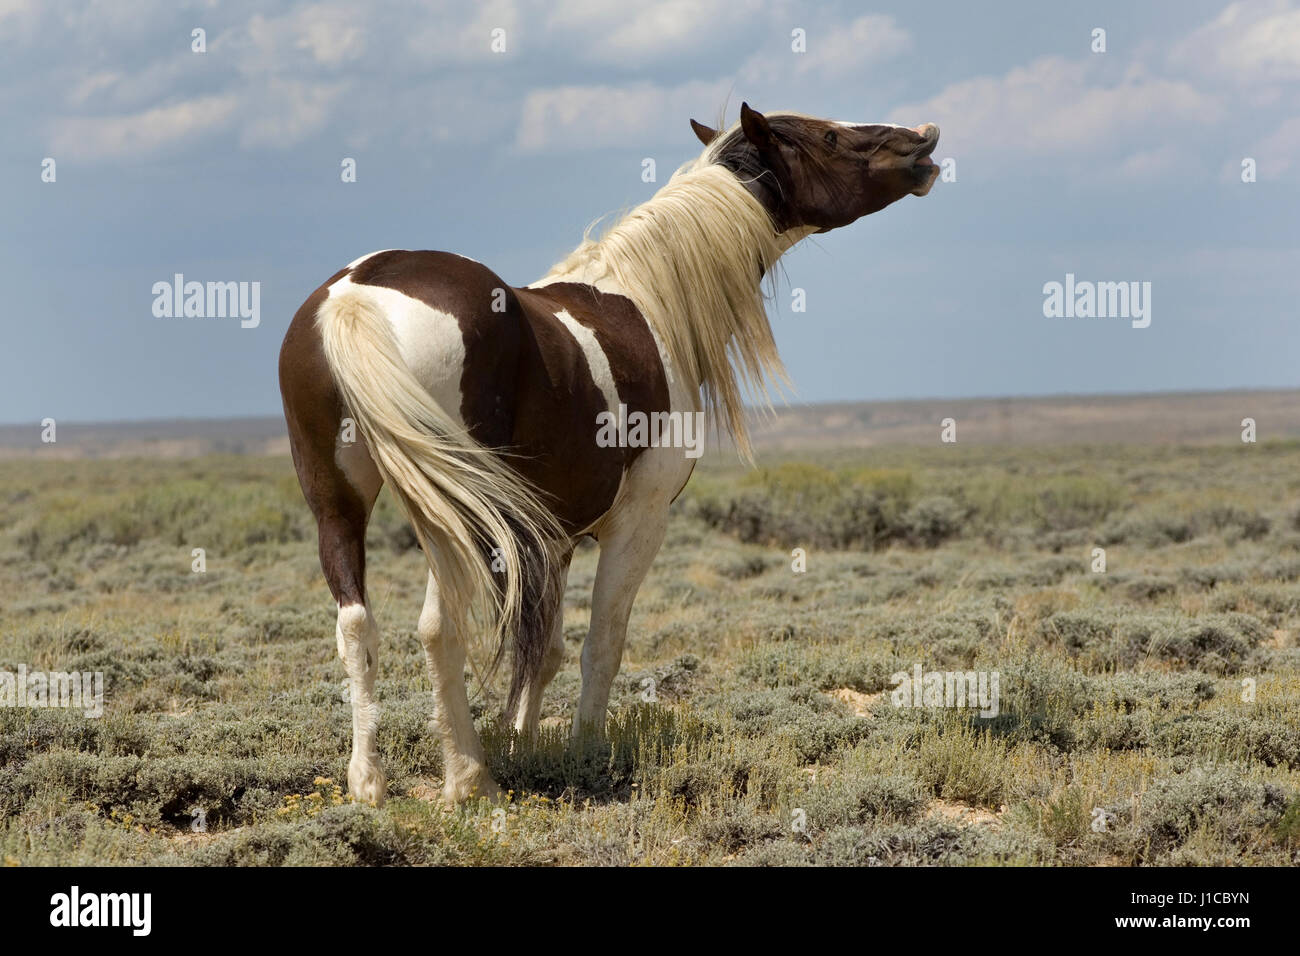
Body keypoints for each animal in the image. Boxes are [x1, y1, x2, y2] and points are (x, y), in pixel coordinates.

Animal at [279, 102, 941, 806]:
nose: (922, 142)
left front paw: (522, 742)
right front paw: (584, 750)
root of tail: (357, 294)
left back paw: (369, 781)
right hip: (450, 519)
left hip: (339, 504)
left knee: (358, 628)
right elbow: (603, 640)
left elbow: (542, 652)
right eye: (830, 137)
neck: (647, 299)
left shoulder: (554, 535)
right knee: (440, 628)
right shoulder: (638, 519)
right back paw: (468, 779)